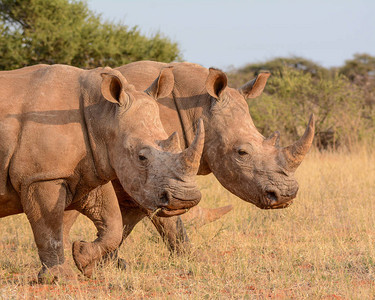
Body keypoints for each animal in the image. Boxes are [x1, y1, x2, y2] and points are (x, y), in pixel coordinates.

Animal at [0, 63, 206, 282]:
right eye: (141, 157)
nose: (185, 200)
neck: (102, 115)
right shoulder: (42, 176)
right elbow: (49, 228)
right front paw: (60, 278)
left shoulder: (89, 168)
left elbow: (113, 223)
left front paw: (83, 258)